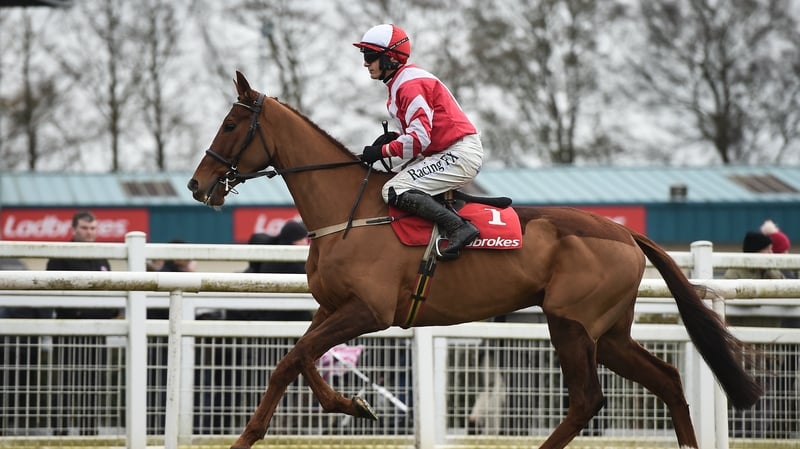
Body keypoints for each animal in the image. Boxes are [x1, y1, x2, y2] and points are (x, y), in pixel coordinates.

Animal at [187, 71, 762, 449]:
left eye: (232, 124)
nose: (197, 185)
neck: (350, 212)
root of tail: (624, 230)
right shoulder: (332, 308)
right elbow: (294, 361)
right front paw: (286, 425)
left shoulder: (368, 312)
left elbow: (296, 357)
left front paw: (346, 407)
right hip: (609, 332)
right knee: (666, 380)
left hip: (571, 322)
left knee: (586, 401)